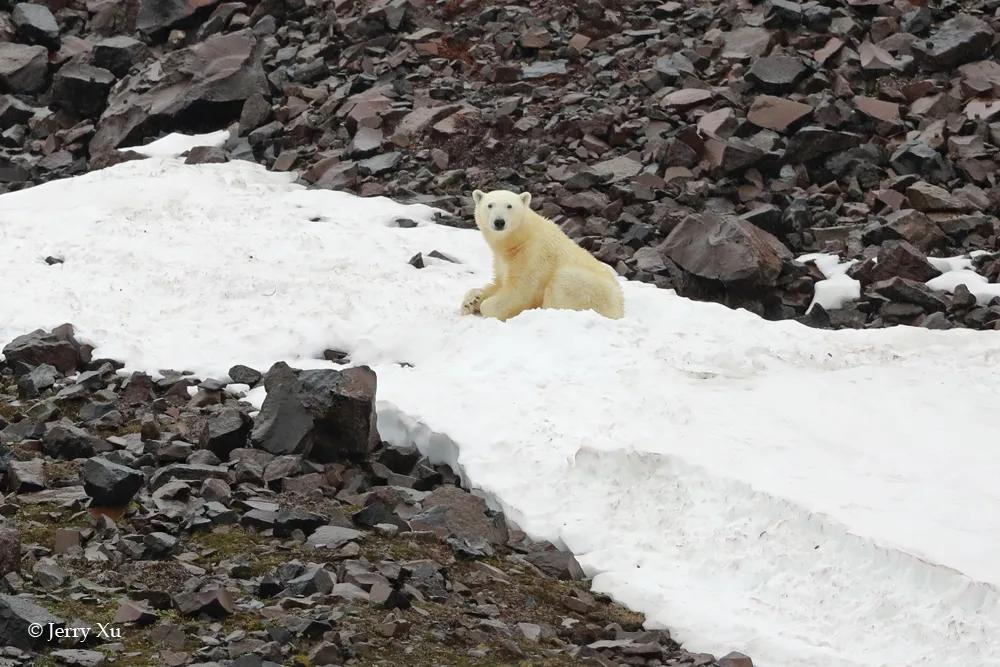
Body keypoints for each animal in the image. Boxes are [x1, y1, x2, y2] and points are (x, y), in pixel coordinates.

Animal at [462, 189, 624, 322]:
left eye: (509, 206)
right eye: (490, 205)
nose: (499, 222)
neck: (518, 240)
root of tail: (620, 309)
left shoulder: (534, 255)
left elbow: (521, 290)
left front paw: (485, 306)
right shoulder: (502, 261)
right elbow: (499, 282)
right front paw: (471, 301)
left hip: (592, 289)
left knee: (563, 282)